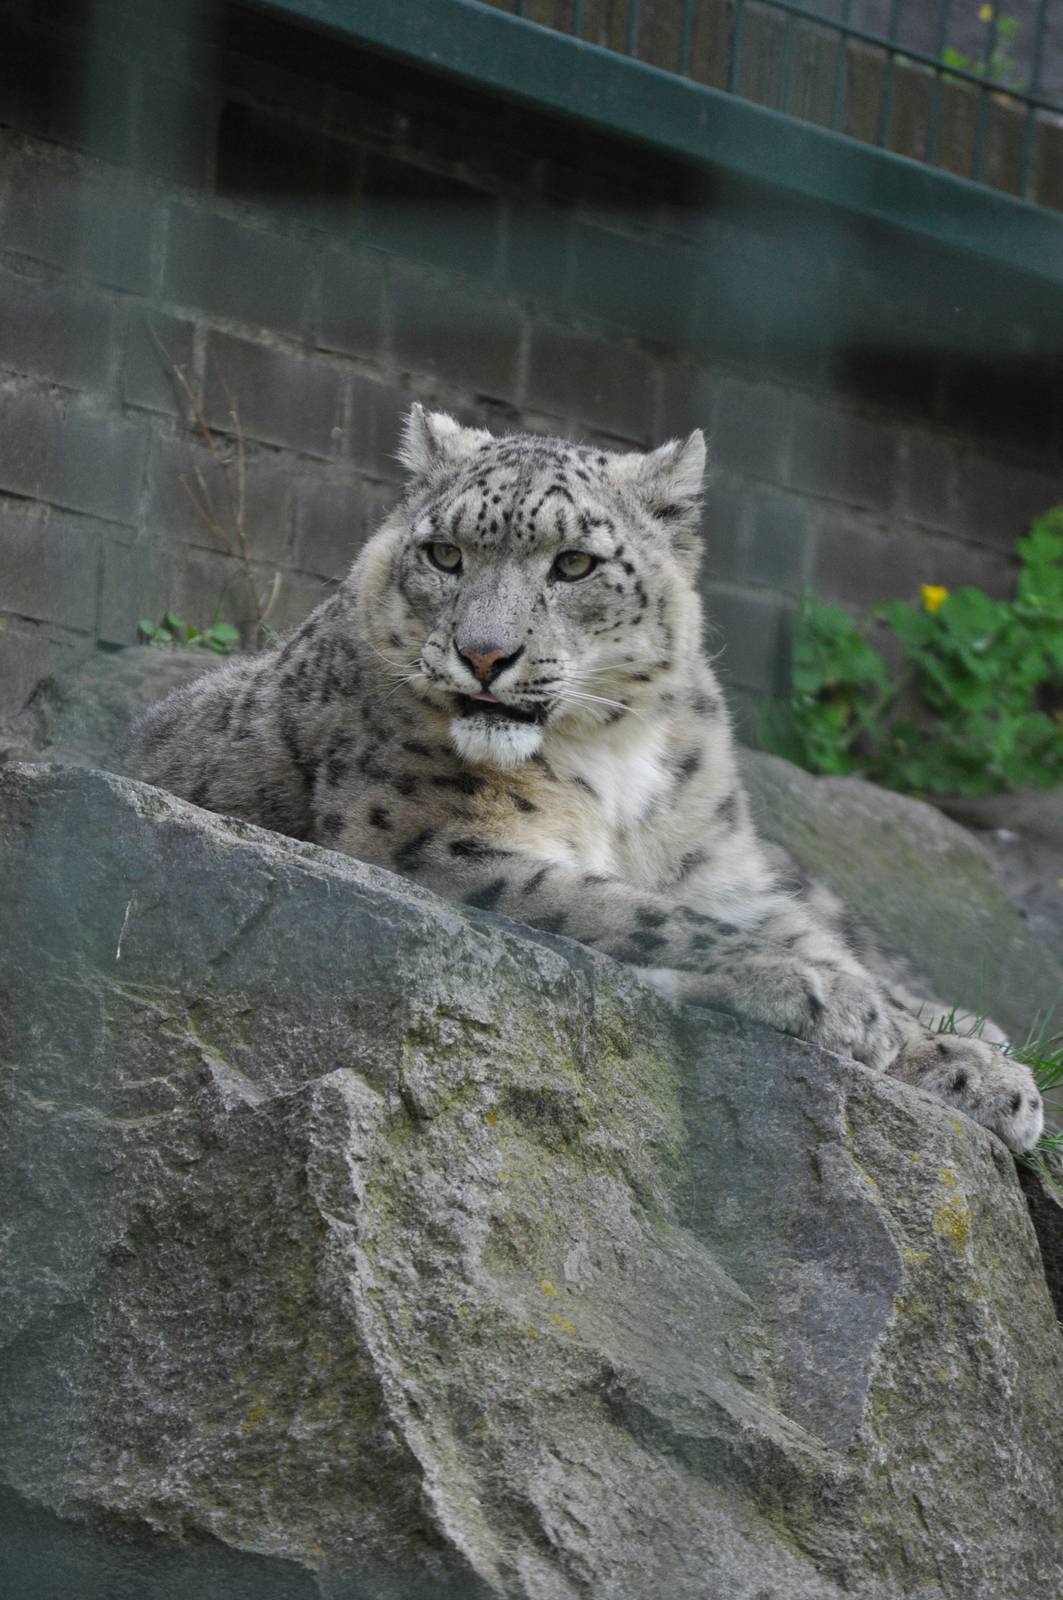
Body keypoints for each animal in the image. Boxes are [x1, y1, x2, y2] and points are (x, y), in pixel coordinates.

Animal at [131, 404, 1044, 1151]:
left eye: (573, 564)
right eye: (444, 554)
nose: (483, 654)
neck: (615, 762)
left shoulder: (715, 868)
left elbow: (788, 927)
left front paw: (970, 1064)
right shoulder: (430, 844)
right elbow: (635, 911)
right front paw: (831, 997)